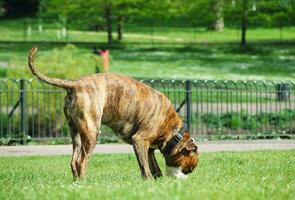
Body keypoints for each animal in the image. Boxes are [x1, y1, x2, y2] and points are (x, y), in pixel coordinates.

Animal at [27, 47, 199, 180]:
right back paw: (84, 183)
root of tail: (75, 84)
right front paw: (149, 181)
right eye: (187, 169)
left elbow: (153, 166)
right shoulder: (140, 141)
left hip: (75, 132)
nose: (184, 180)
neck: (173, 131)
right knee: (81, 161)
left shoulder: (148, 148)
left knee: (74, 160)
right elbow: (145, 167)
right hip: (91, 133)